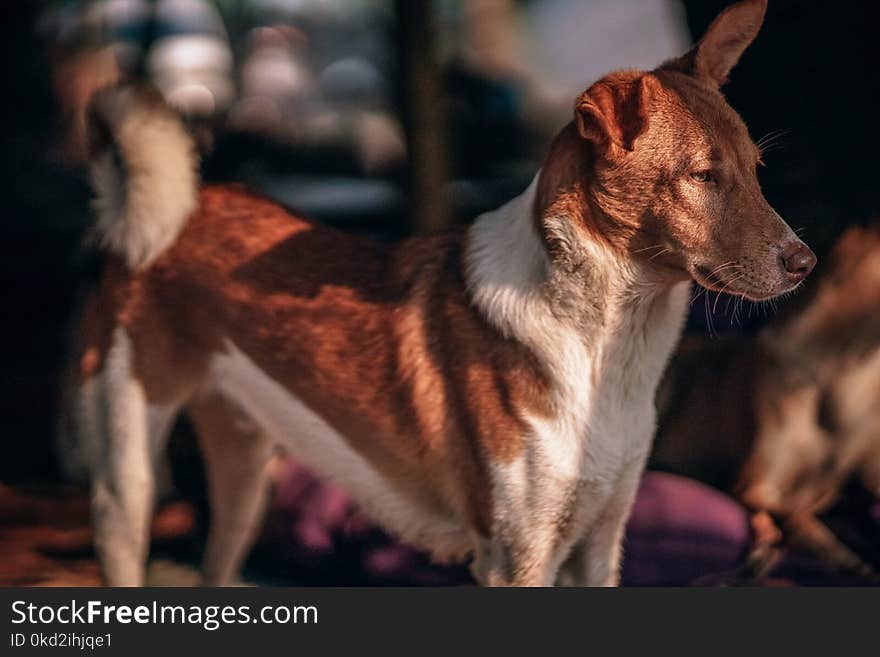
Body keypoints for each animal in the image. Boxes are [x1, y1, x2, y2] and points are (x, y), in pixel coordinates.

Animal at [65, 0, 816, 584]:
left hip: (246, 479)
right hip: (125, 483)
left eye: (756, 169)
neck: (607, 347)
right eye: (702, 176)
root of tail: (177, 209)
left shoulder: (600, 547)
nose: (806, 262)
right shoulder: (516, 559)